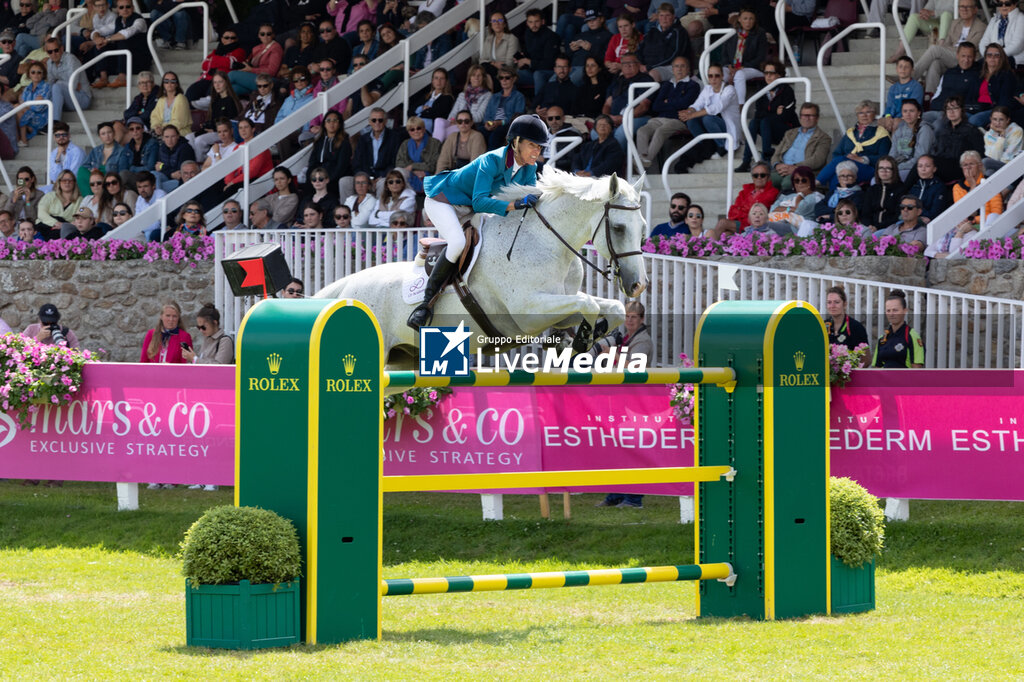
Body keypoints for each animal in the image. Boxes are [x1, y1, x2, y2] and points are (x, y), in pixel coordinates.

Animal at [313, 165, 647, 366]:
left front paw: (585, 335)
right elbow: (589, 303)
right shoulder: (528, 311)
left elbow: (611, 307)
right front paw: (581, 339)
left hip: (402, 357)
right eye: (618, 228)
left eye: (643, 227)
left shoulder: (558, 303)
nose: (638, 285)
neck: (545, 240)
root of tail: (346, 287)